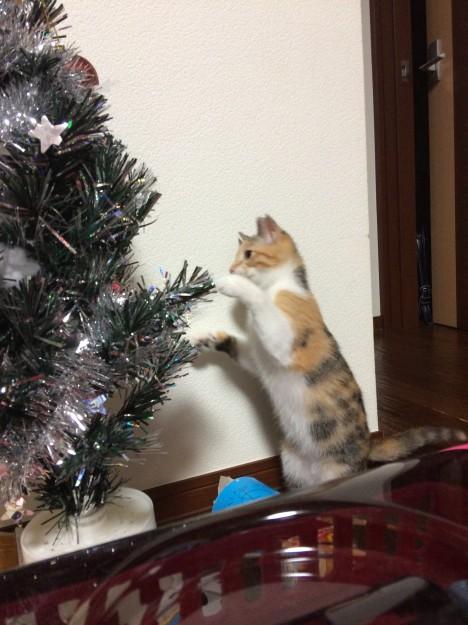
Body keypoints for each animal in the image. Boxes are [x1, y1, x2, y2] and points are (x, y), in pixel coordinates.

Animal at [196, 215, 467, 489]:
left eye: (248, 254)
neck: (280, 286)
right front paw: (205, 337)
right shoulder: (259, 358)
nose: (232, 269)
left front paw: (230, 284)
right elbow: (243, 350)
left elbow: (260, 301)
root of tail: (368, 447)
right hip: (292, 465)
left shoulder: (285, 343)